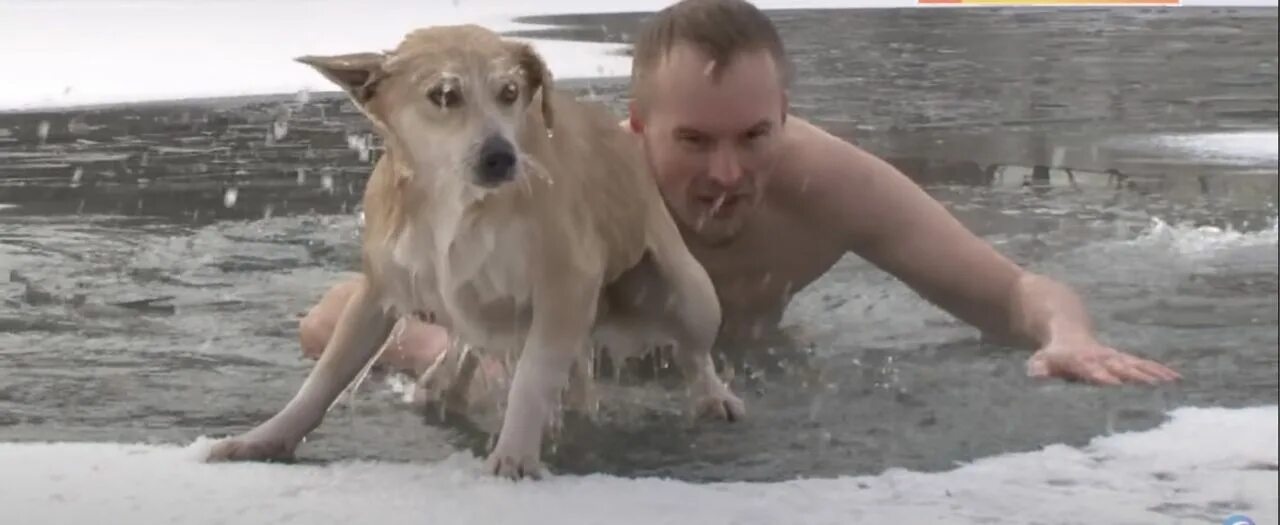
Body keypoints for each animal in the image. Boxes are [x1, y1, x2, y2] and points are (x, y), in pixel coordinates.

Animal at [204, 25, 747, 478]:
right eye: (444, 95)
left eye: (510, 93)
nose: (500, 156)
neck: (457, 204)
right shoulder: (377, 294)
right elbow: (322, 381)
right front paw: (265, 439)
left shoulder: (565, 286)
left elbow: (531, 380)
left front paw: (515, 456)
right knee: (467, 349)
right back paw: (440, 385)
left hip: (688, 291)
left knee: (692, 351)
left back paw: (713, 397)